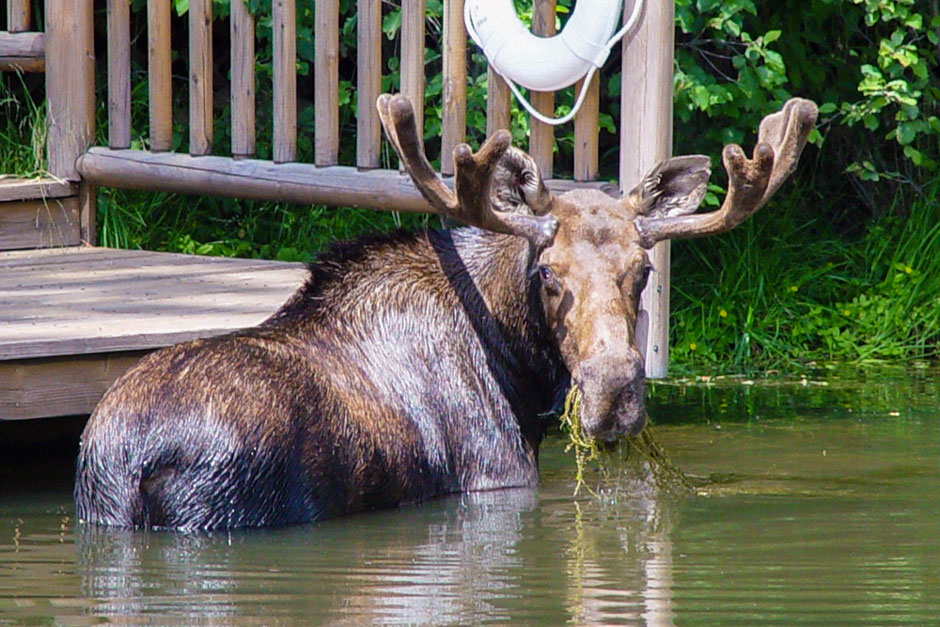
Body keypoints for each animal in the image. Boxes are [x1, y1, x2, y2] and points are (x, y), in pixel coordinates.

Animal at [75, 93, 816, 528]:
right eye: (547, 273)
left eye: (645, 271)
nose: (614, 393)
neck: (519, 370)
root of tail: (131, 459)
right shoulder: (497, 477)